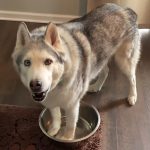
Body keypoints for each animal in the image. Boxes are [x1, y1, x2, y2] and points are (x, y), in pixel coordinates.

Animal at [11, 2, 141, 140]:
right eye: (27, 62)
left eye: (48, 61)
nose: (35, 85)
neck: (58, 83)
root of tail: (125, 9)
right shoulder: (51, 101)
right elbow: (56, 115)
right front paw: (54, 129)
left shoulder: (72, 105)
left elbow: (70, 125)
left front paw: (67, 138)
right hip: (101, 58)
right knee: (105, 71)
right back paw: (96, 86)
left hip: (124, 61)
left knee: (132, 78)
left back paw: (132, 96)